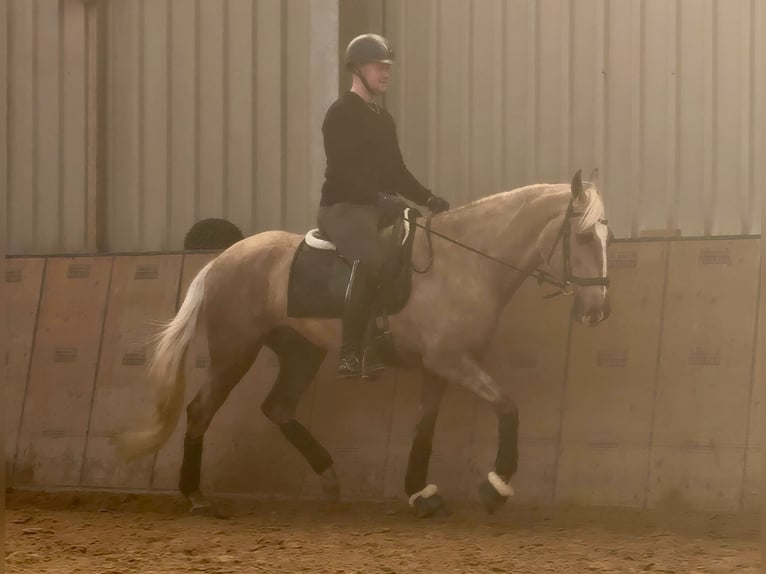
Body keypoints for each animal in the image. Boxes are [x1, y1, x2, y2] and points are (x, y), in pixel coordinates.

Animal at [115, 169, 612, 517]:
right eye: (585, 236)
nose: (598, 311)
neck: (465, 263)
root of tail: (223, 259)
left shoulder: (438, 366)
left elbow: (424, 429)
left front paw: (420, 493)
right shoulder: (451, 360)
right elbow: (507, 406)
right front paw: (496, 487)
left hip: (300, 351)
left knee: (278, 408)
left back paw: (330, 477)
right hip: (234, 351)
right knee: (201, 411)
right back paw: (196, 496)